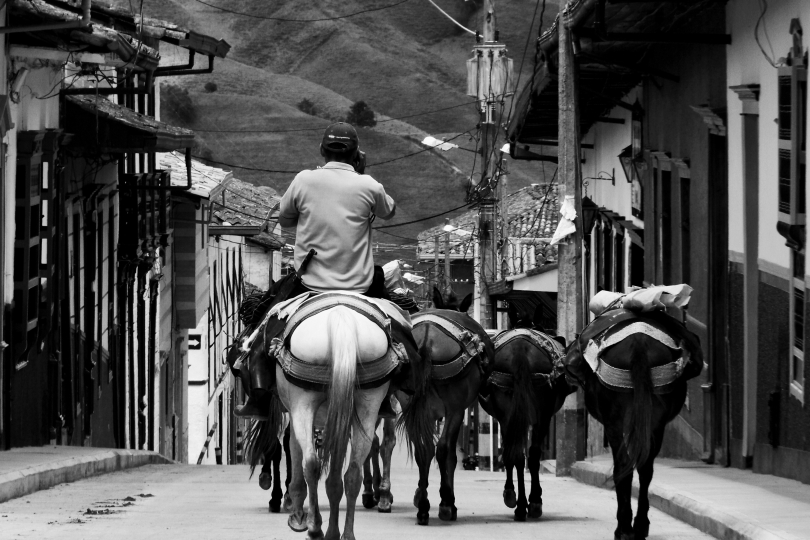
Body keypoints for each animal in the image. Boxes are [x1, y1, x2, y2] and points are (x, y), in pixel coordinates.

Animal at [245, 292, 432, 540]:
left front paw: (298, 515)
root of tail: (341, 317)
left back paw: (313, 526)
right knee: (353, 471)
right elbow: (335, 474)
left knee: (311, 463)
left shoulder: (296, 413)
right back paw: (347, 531)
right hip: (366, 405)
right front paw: (330, 528)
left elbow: (293, 453)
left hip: (304, 403)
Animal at [410, 288, 492, 524]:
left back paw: (423, 505)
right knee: (444, 449)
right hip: (455, 408)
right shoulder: (456, 410)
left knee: (424, 449)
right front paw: (447, 500)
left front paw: (421, 495)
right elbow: (451, 456)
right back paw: (446, 503)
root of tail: (428, 337)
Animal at [480, 308, 576, 524]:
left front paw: (512, 494)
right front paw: (531, 498)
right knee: (529, 456)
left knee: (518, 455)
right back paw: (531, 503)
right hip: (540, 415)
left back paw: (521, 504)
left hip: (512, 413)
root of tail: (520, 349)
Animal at [564, 312, 704, 540]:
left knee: (623, 466)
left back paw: (623, 528)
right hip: (654, 422)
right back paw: (639, 525)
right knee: (645, 467)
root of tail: (639, 340)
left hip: (614, 422)